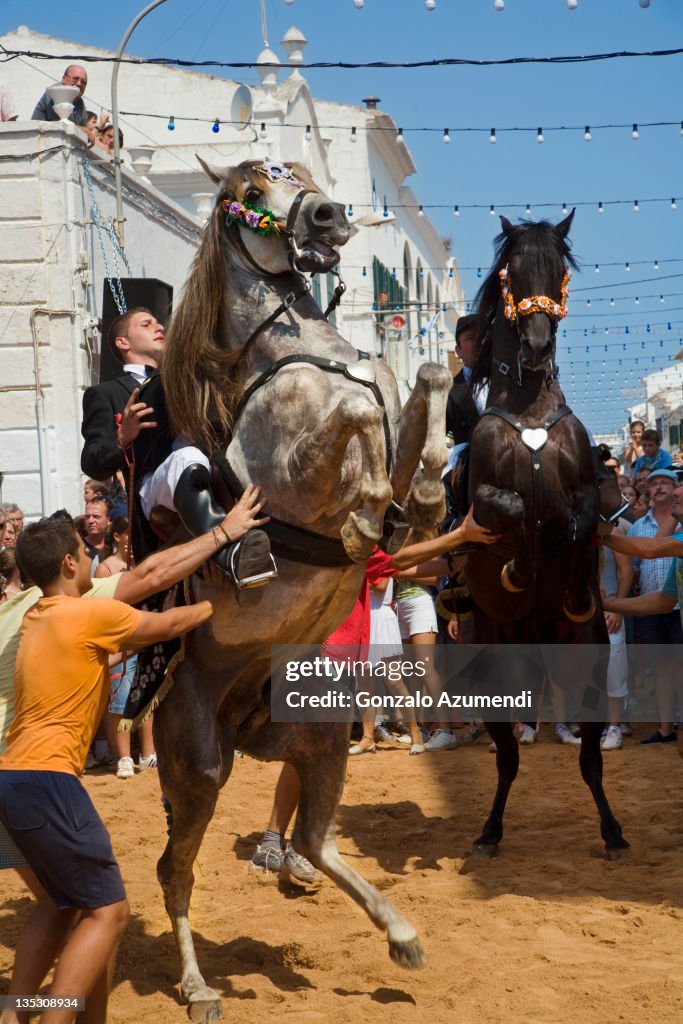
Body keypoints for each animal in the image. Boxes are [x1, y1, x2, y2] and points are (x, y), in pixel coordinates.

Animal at [155, 155, 454, 1019]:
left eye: (297, 172)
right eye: (252, 189)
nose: (326, 216)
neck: (294, 351)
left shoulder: (397, 394)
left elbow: (418, 378)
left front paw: (422, 497)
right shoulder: (292, 479)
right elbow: (356, 412)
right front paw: (365, 518)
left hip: (316, 736)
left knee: (315, 840)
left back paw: (400, 934)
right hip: (198, 769)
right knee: (173, 871)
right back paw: (197, 986)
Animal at [464, 211, 630, 860]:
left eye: (559, 269)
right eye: (512, 272)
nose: (536, 347)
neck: (531, 413)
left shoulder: (586, 490)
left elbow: (581, 518)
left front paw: (573, 574)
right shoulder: (482, 502)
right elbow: (510, 507)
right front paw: (519, 567)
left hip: (586, 665)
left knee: (589, 757)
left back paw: (613, 831)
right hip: (495, 674)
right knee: (507, 757)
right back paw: (489, 830)